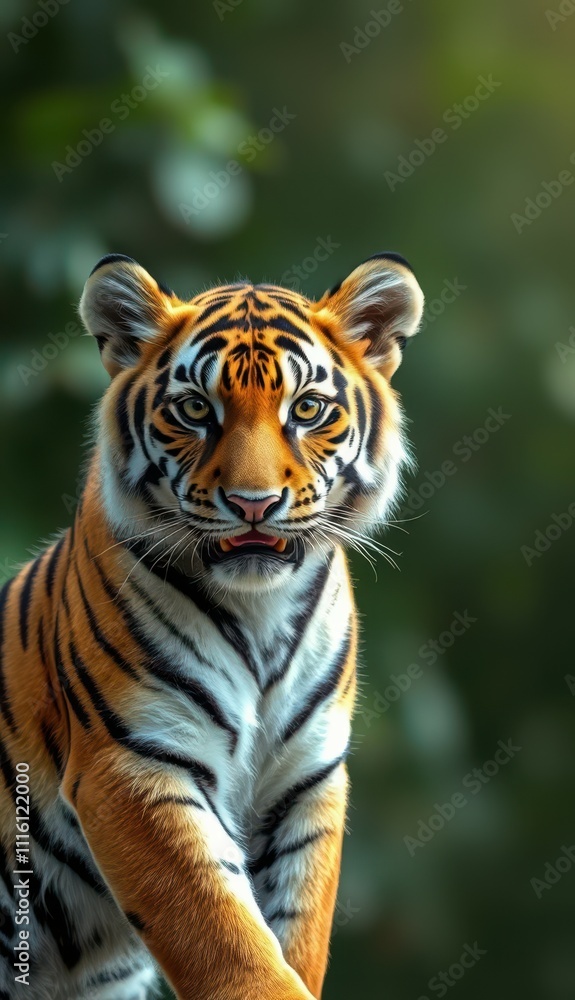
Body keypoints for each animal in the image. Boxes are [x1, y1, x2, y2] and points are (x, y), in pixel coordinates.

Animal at [0, 251, 424, 1000]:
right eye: (196, 409)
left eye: (307, 408)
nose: (253, 504)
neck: (260, 611)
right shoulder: (134, 761)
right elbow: (225, 940)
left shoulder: (307, 779)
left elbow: (294, 935)